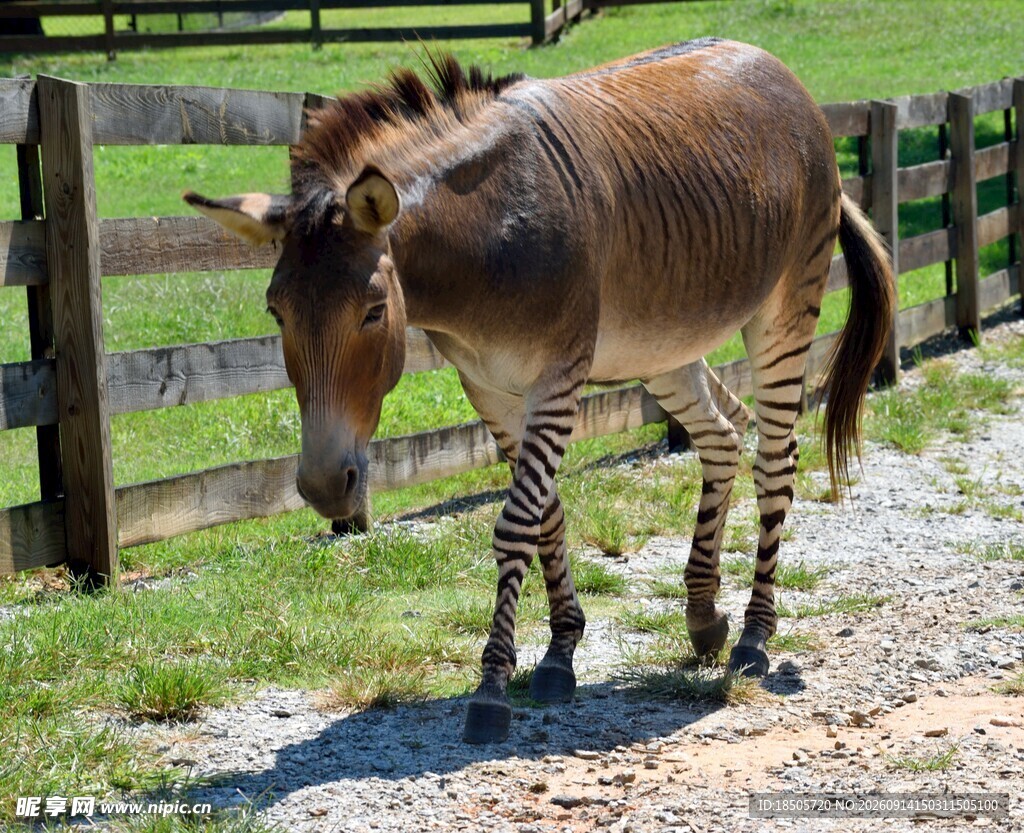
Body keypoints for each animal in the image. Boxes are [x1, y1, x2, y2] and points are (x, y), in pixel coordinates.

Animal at [185, 37, 894, 744]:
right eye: (275, 312)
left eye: (372, 312)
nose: (326, 487)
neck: (486, 240)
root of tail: (775, 66)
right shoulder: (489, 389)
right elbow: (547, 513)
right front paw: (560, 652)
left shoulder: (558, 376)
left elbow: (517, 521)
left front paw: (493, 688)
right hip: (663, 341)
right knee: (722, 434)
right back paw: (702, 614)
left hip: (785, 308)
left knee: (776, 460)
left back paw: (753, 636)